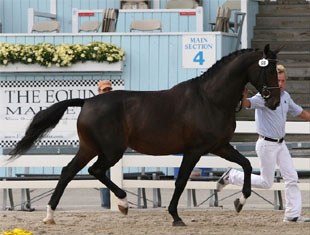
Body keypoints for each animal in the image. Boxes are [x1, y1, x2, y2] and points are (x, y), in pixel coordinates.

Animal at [9, 44, 280, 226]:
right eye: (268, 70)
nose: (275, 101)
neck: (210, 99)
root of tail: (87, 101)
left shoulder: (219, 146)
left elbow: (246, 164)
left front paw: (239, 202)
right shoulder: (194, 150)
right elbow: (181, 181)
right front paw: (175, 216)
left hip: (89, 148)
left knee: (68, 172)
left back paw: (50, 215)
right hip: (110, 151)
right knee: (94, 171)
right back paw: (122, 203)